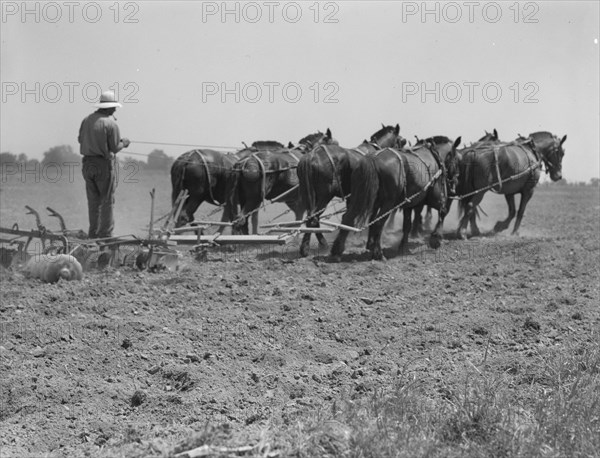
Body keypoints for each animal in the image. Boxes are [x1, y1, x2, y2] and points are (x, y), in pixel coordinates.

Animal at [296, 123, 404, 256]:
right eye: (402, 141)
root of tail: (312, 155)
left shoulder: (352, 197)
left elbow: (349, 217)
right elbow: (371, 218)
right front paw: (369, 244)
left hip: (308, 195)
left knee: (311, 218)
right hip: (325, 196)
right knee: (313, 218)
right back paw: (311, 247)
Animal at [330, 135, 462, 262]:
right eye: (456, 159)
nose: (456, 181)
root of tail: (372, 159)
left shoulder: (409, 204)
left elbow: (407, 225)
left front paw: (403, 246)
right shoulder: (434, 197)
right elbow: (443, 211)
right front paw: (436, 239)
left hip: (360, 197)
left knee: (348, 218)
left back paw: (337, 251)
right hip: (388, 203)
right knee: (378, 223)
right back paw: (378, 253)